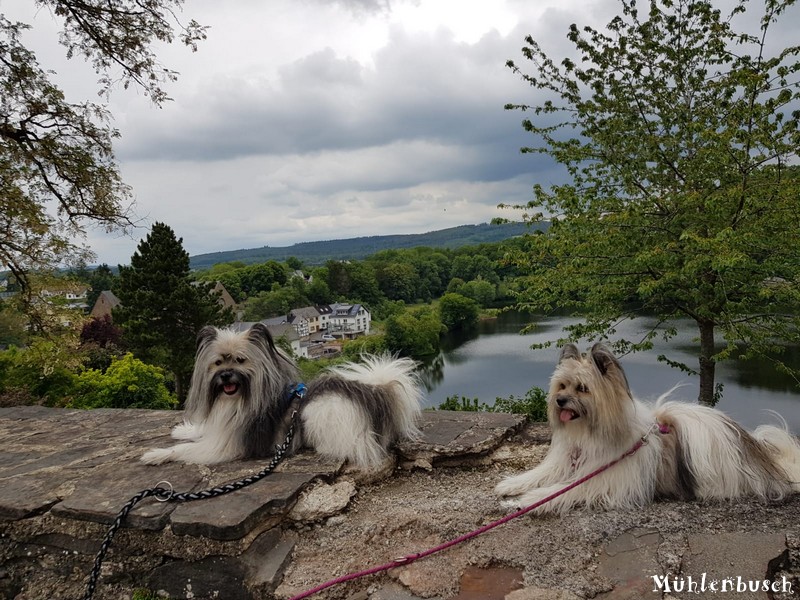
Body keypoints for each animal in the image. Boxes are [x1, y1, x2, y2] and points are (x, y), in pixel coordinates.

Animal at [141, 324, 422, 468]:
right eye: (218, 362)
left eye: (240, 360)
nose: (226, 376)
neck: (236, 401)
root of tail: (371, 393)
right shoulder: (220, 428)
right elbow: (199, 431)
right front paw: (183, 430)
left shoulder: (224, 446)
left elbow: (185, 449)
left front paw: (156, 454)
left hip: (321, 412)